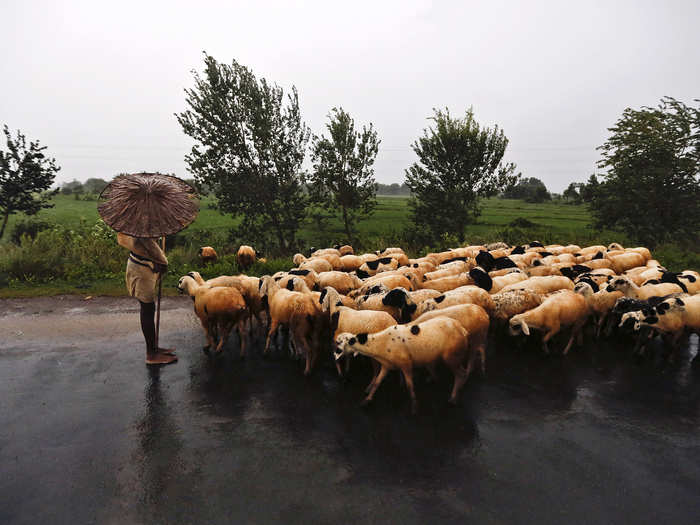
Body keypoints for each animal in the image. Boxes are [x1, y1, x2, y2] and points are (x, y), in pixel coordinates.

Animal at [334, 316, 470, 414]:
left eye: (339, 343)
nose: (334, 356)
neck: (380, 344)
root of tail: (462, 328)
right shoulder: (386, 365)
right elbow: (377, 382)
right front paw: (366, 400)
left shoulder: (406, 365)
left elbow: (410, 386)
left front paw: (414, 407)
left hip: (451, 356)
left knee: (462, 374)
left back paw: (454, 397)